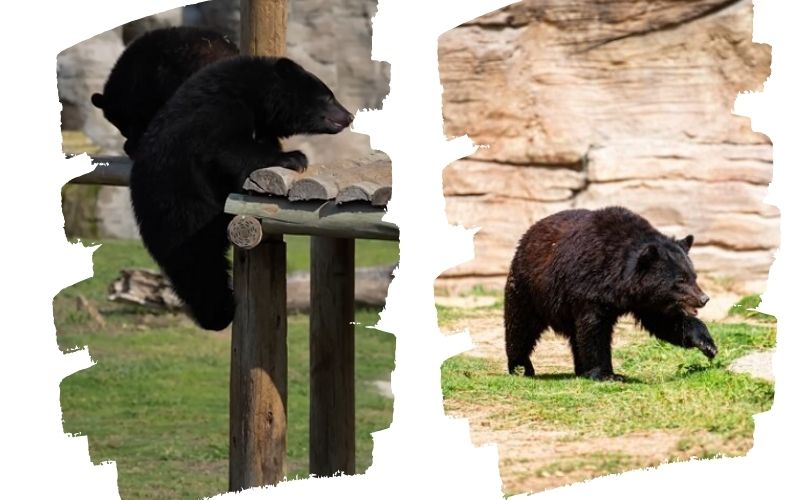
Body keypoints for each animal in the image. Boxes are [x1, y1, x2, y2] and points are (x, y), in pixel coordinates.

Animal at [131, 56, 354, 330]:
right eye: (328, 97)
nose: (348, 116)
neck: (255, 94)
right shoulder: (219, 111)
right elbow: (229, 149)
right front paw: (295, 157)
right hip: (183, 210)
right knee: (199, 265)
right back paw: (221, 312)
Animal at [504, 205, 716, 380]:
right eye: (680, 280)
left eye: (693, 276)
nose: (703, 299)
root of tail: (529, 233)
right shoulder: (588, 287)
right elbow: (595, 329)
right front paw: (608, 374)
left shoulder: (647, 301)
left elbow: (665, 322)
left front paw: (707, 344)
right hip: (529, 288)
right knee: (521, 326)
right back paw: (521, 366)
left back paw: (580, 369)